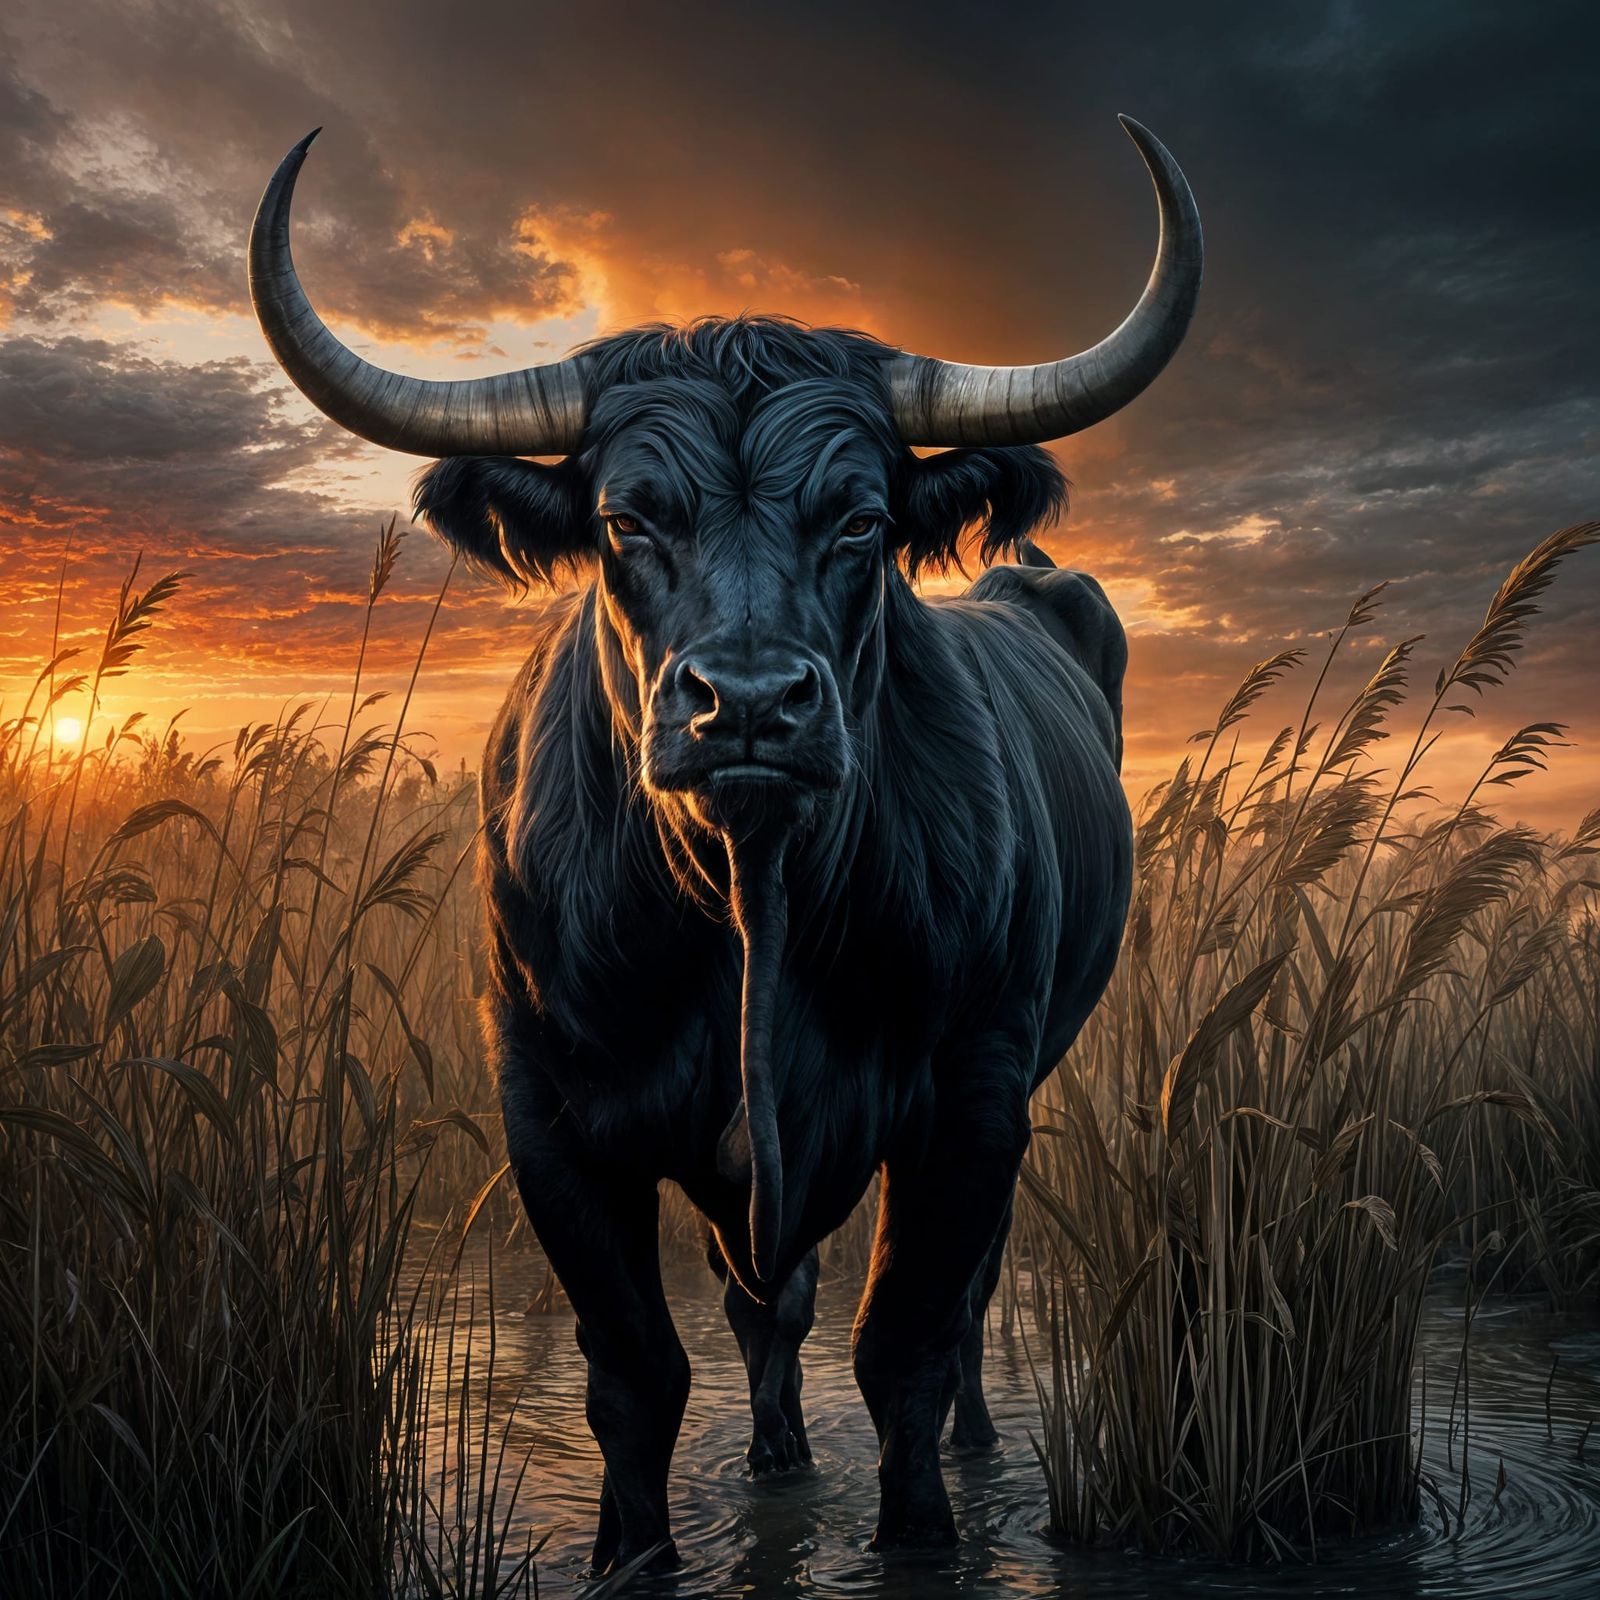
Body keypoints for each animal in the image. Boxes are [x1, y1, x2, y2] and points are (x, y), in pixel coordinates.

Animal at [249, 115, 1201, 1574]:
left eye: (862, 519)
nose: (746, 703)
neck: (753, 910)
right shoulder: (551, 1118)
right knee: (768, 1309)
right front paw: (634, 1552)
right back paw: (773, 1460)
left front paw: (920, 1533)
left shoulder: (973, 1102)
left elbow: (905, 1343)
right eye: (627, 520)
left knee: (951, 1303)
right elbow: (640, 1370)